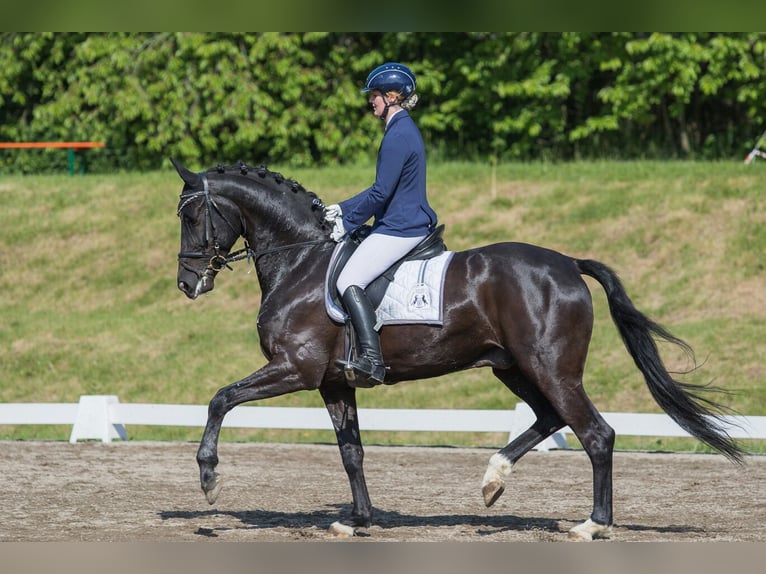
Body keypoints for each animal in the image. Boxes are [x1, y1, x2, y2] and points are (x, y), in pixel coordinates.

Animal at [172, 160, 744, 544]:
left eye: (194, 216)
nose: (186, 284)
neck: (301, 262)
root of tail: (566, 263)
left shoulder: (294, 369)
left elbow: (220, 399)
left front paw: (209, 480)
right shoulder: (334, 381)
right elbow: (351, 452)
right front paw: (357, 520)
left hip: (552, 367)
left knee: (595, 433)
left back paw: (591, 525)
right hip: (513, 367)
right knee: (550, 418)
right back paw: (493, 480)